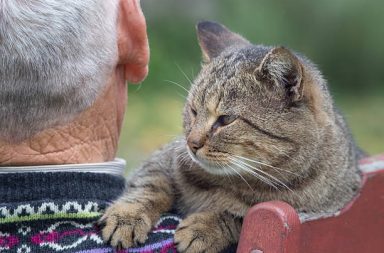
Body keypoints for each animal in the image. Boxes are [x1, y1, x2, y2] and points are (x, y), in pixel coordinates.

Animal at [100, 21, 362, 253]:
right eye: (193, 111)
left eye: (226, 120)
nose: (191, 143)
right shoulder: (163, 158)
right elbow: (149, 184)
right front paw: (127, 216)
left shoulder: (303, 212)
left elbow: (240, 217)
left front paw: (206, 227)